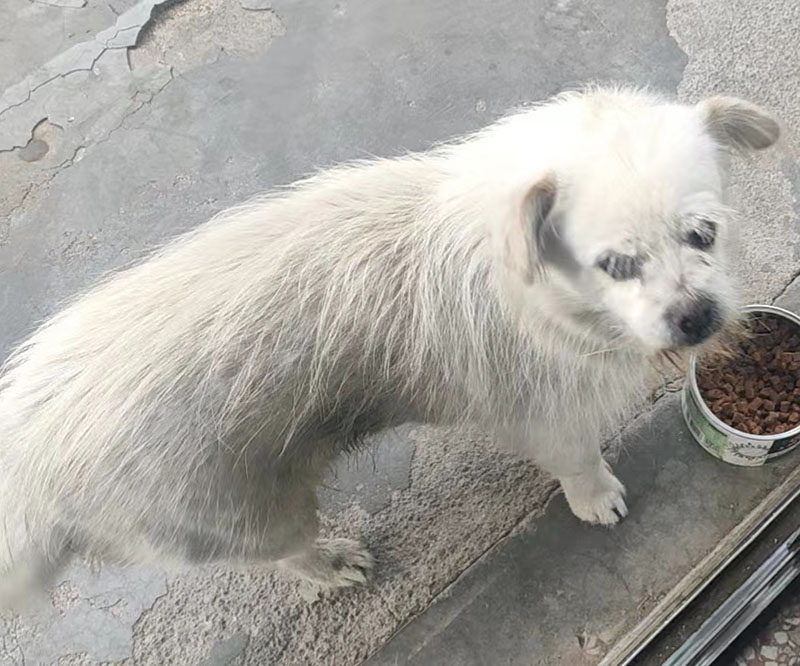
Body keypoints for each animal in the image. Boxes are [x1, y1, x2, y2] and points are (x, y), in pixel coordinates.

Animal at [0, 85, 780, 600]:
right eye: (616, 264)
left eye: (704, 234)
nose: (698, 318)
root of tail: (31, 462)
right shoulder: (546, 416)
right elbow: (579, 461)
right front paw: (595, 498)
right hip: (254, 515)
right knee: (277, 556)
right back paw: (326, 565)